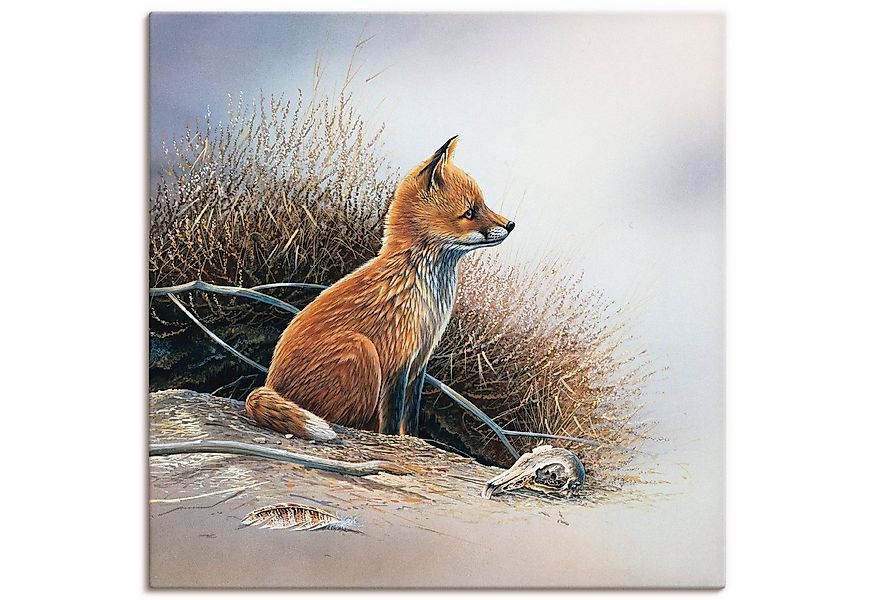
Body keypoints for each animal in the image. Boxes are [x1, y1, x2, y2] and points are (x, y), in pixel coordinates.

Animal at [245, 136, 515, 440]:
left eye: (483, 204)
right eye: (469, 212)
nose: (511, 224)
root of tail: (270, 383)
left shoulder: (419, 364)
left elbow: (411, 417)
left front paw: (412, 440)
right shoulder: (398, 362)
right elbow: (392, 420)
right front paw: (394, 441)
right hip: (362, 351)